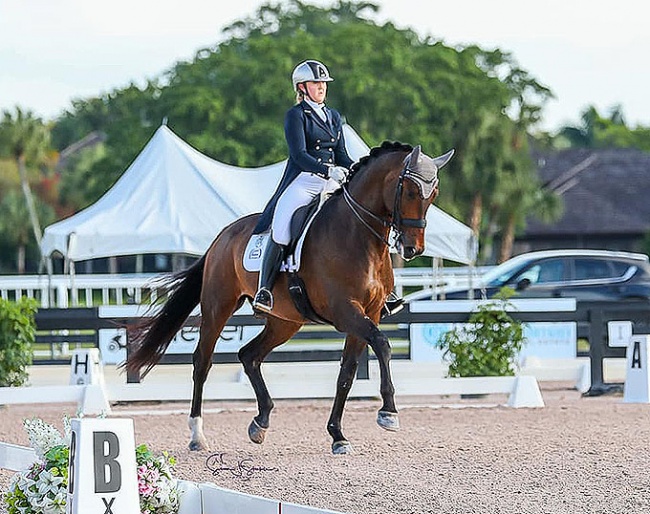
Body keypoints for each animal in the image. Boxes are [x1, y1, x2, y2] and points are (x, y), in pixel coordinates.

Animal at [125, 140, 450, 452]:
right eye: (410, 191)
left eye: (433, 194)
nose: (413, 249)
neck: (359, 236)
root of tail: (222, 235)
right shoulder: (346, 312)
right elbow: (382, 345)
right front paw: (388, 413)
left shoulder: (367, 314)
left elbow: (346, 374)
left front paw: (337, 435)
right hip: (218, 307)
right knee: (202, 362)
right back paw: (197, 435)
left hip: (285, 322)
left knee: (249, 355)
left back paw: (261, 421)